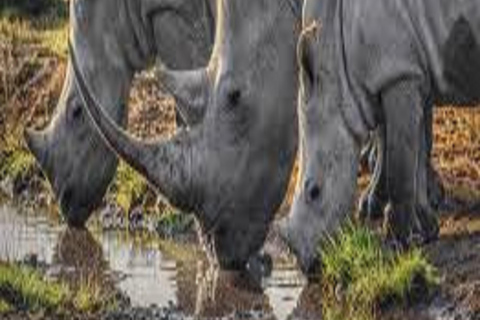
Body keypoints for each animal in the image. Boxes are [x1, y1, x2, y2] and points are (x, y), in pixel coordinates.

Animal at [280, 0, 478, 272]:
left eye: (314, 191)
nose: (305, 265)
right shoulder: (412, 70)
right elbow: (418, 147)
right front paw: (427, 231)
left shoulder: (398, 73)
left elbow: (401, 164)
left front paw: (399, 242)